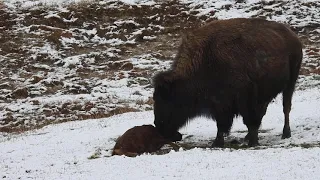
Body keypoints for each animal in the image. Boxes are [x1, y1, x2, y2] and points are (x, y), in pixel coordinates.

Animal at [152, 17, 302, 147]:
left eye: (166, 99)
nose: (158, 125)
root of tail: (293, 37)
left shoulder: (244, 99)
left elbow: (248, 119)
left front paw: (252, 141)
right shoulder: (220, 104)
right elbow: (222, 123)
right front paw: (218, 142)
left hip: (290, 84)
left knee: (286, 107)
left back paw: (285, 133)